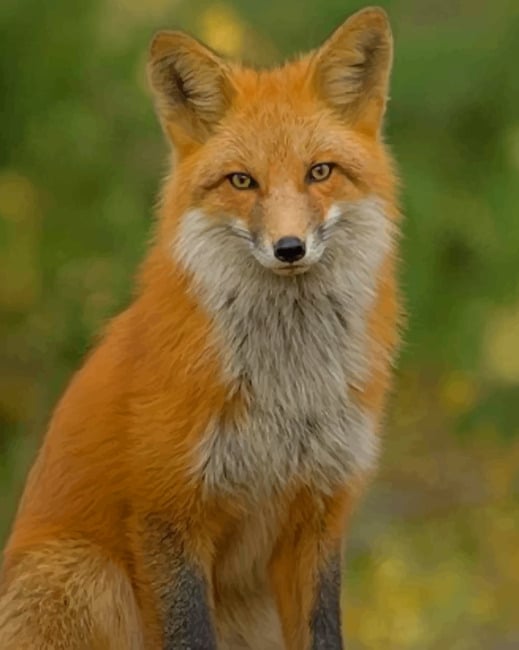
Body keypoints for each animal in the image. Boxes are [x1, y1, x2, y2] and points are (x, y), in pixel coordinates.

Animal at [0, 6, 400, 650]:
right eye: (242, 181)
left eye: (320, 172)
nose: (289, 249)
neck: (286, 392)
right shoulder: (169, 514)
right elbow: (189, 633)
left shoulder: (318, 515)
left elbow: (323, 632)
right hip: (87, 574)